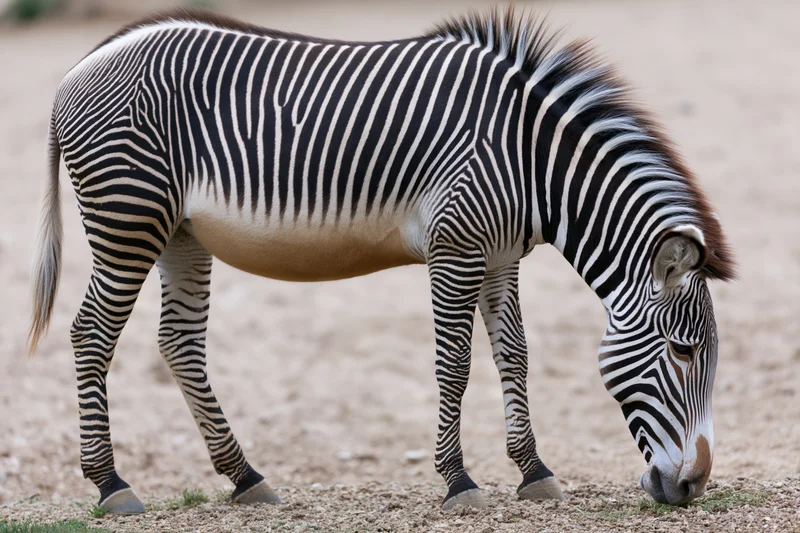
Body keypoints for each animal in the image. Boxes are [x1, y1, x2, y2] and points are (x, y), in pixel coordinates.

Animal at [28, 7, 735, 514]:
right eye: (683, 352)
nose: (693, 487)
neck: (530, 161)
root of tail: (79, 66)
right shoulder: (457, 247)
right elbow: (455, 365)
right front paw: (458, 482)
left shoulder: (500, 256)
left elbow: (515, 355)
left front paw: (533, 470)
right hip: (129, 217)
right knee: (91, 334)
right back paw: (111, 484)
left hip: (180, 232)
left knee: (178, 343)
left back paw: (245, 476)